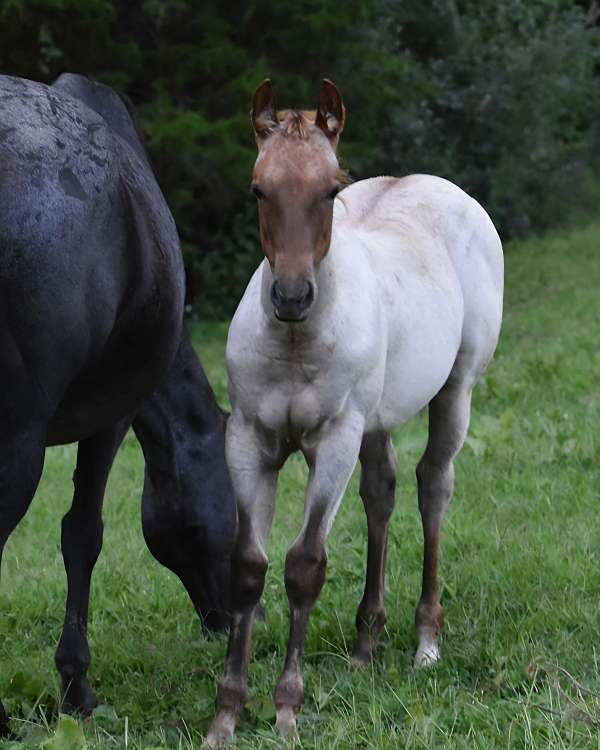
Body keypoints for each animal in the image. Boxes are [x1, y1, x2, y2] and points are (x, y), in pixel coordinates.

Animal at [205, 79, 504, 746]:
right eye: (258, 188)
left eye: (331, 190)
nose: (292, 297)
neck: (296, 343)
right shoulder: (249, 441)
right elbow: (247, 566)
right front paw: (226, 714)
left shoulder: (334, 441)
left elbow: (304, 565)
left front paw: (286, 710)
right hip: (375, 420)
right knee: (381, 493)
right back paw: (366, 644)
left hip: (455, 391)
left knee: (432, 486)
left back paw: (425, 642)